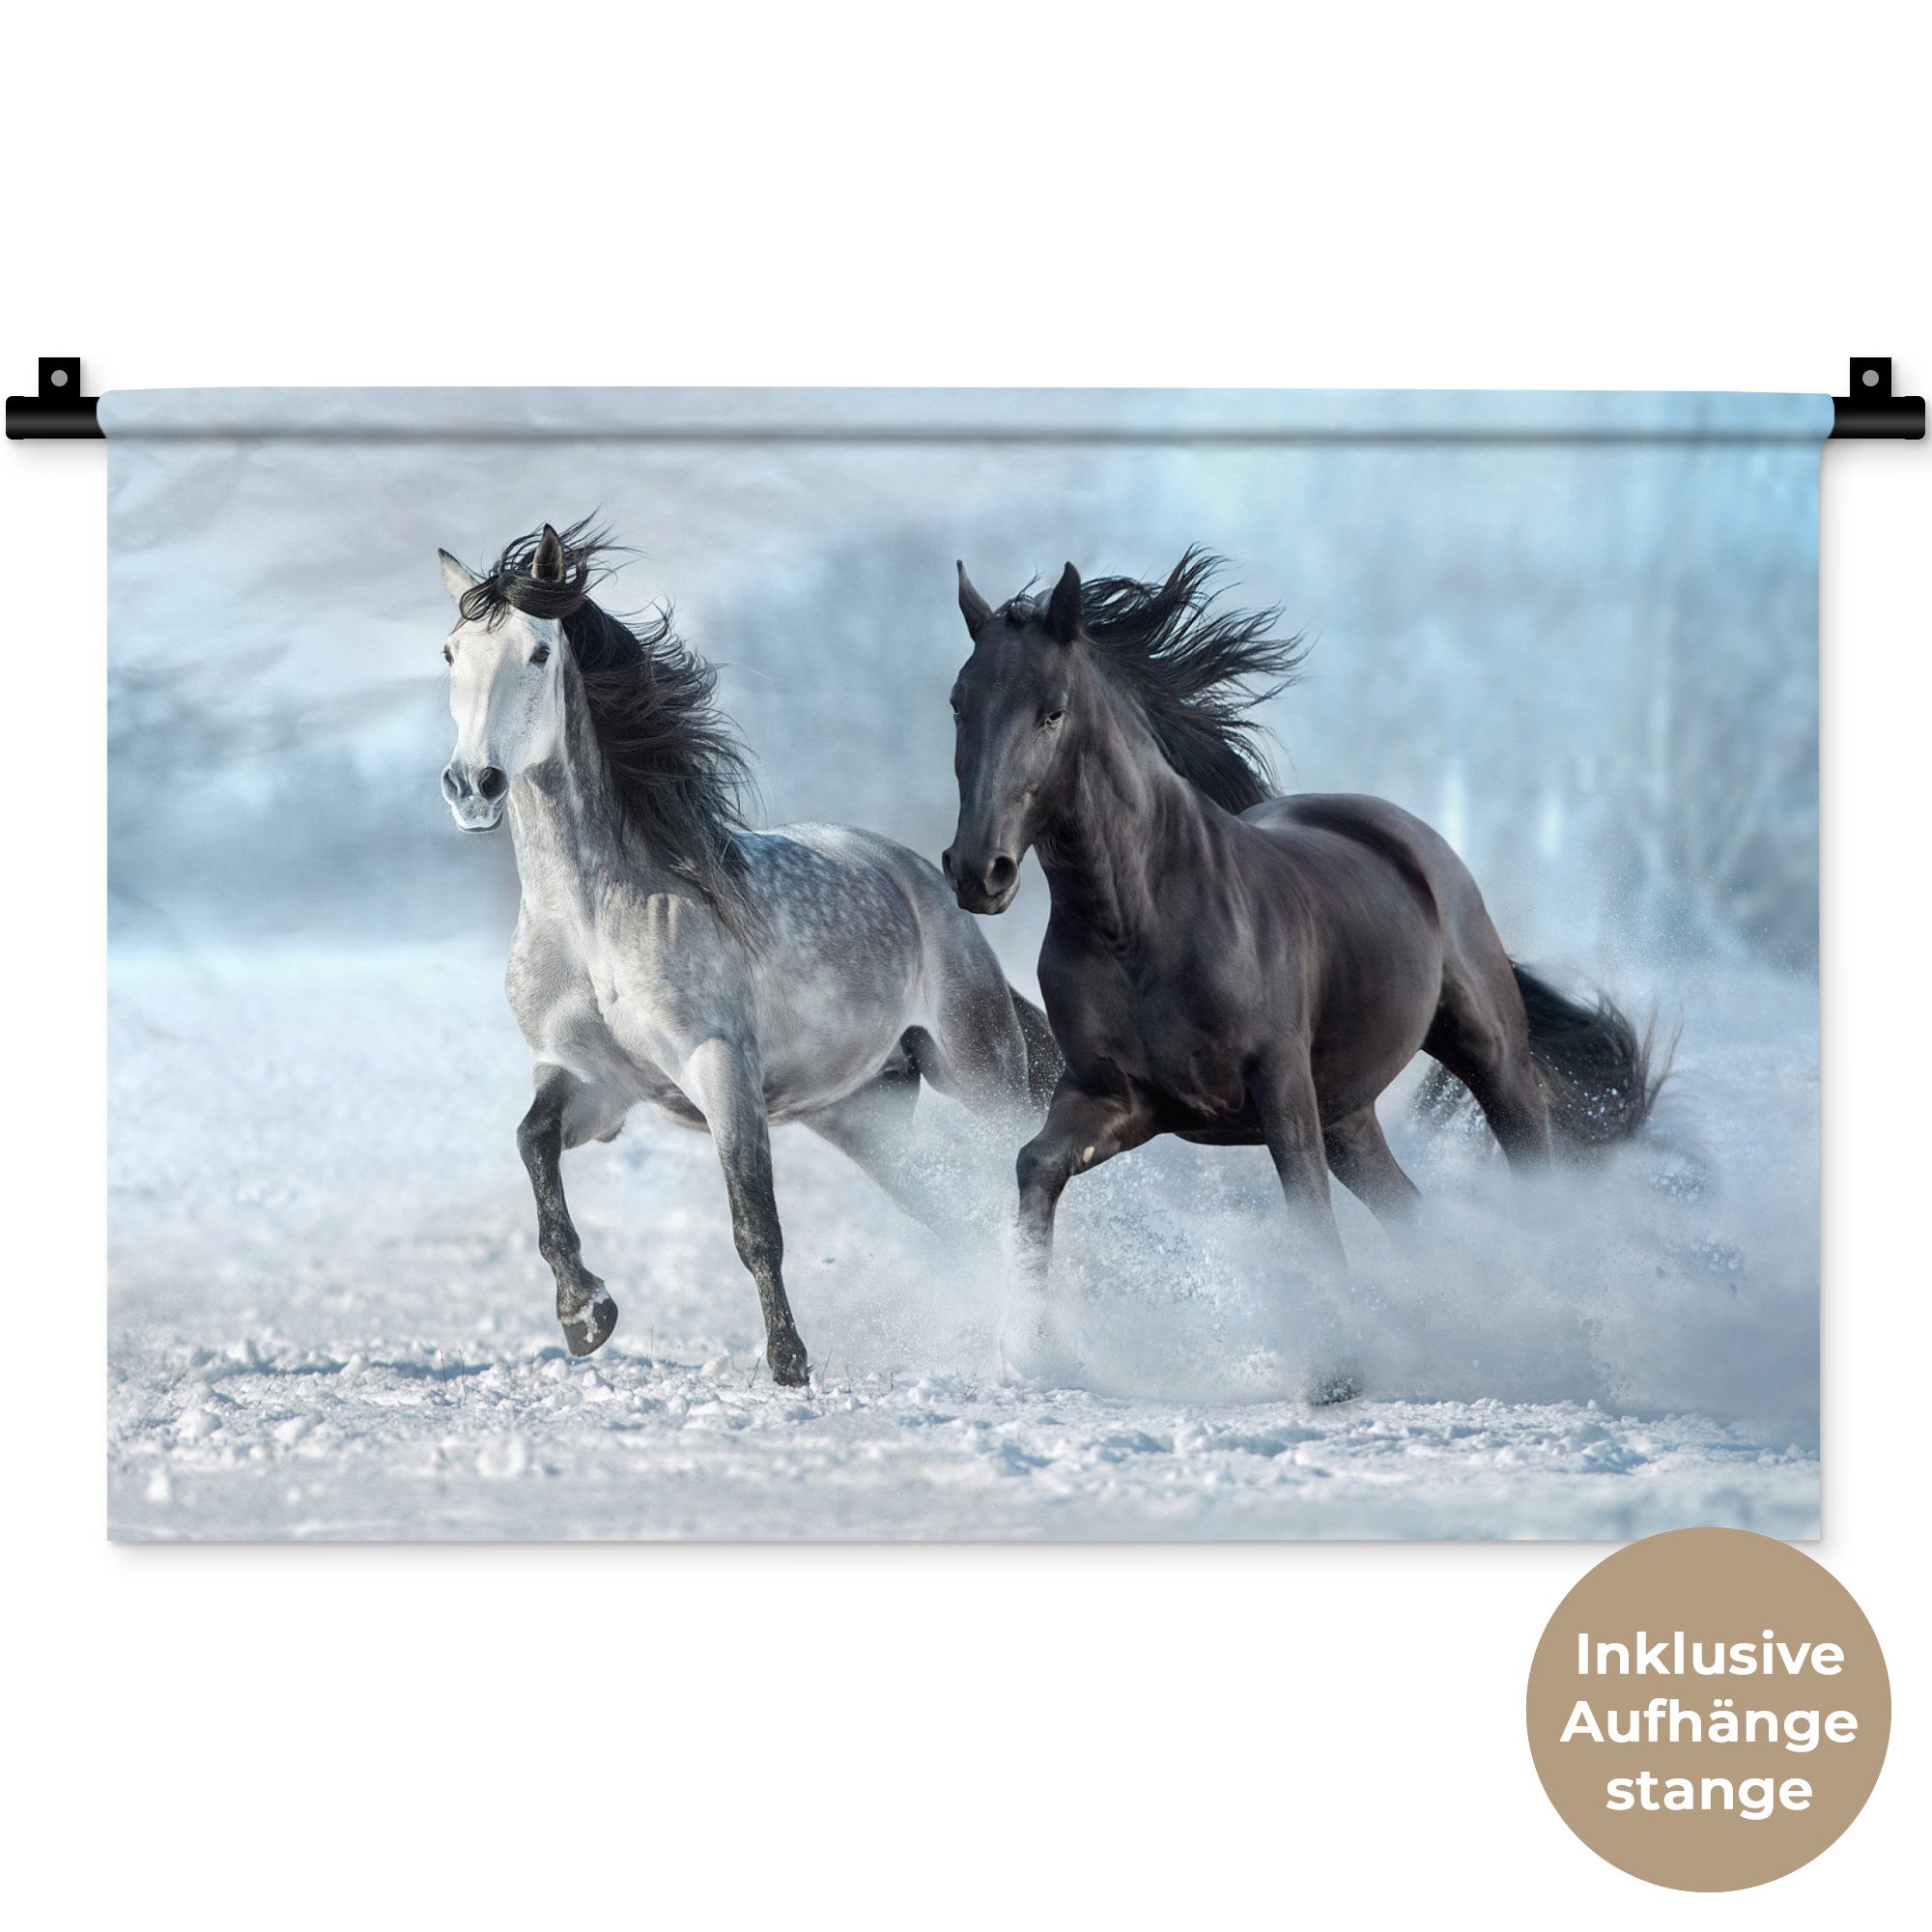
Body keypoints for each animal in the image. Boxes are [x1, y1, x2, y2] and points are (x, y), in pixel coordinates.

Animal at [437, 520, 1058, 1385]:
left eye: (536, 652)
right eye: (451, 652)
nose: (474, 785)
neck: (593, 920)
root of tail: (921, 881)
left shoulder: (719, 1066)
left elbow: (754, 1222)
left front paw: (788, 1364)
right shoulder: (590, 1081)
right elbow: (533, 1146)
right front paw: (585, 1314)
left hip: (979, 1070)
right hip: (862, 1115)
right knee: (955, 1212)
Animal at [941, 548, 1663, 1371]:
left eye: (1053, 709)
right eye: (959, 703)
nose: (980, 871)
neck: (1141, 926)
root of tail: (1408, 837)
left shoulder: (1279, 1086)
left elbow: (1308, 1214)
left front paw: (1336, 1373)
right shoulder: (1115, 1098)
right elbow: (1036, 1165)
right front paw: (1030, 1346)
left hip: (1488, 1056)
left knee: (1531, 1166)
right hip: (1349, 1113)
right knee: (1410, 1212)